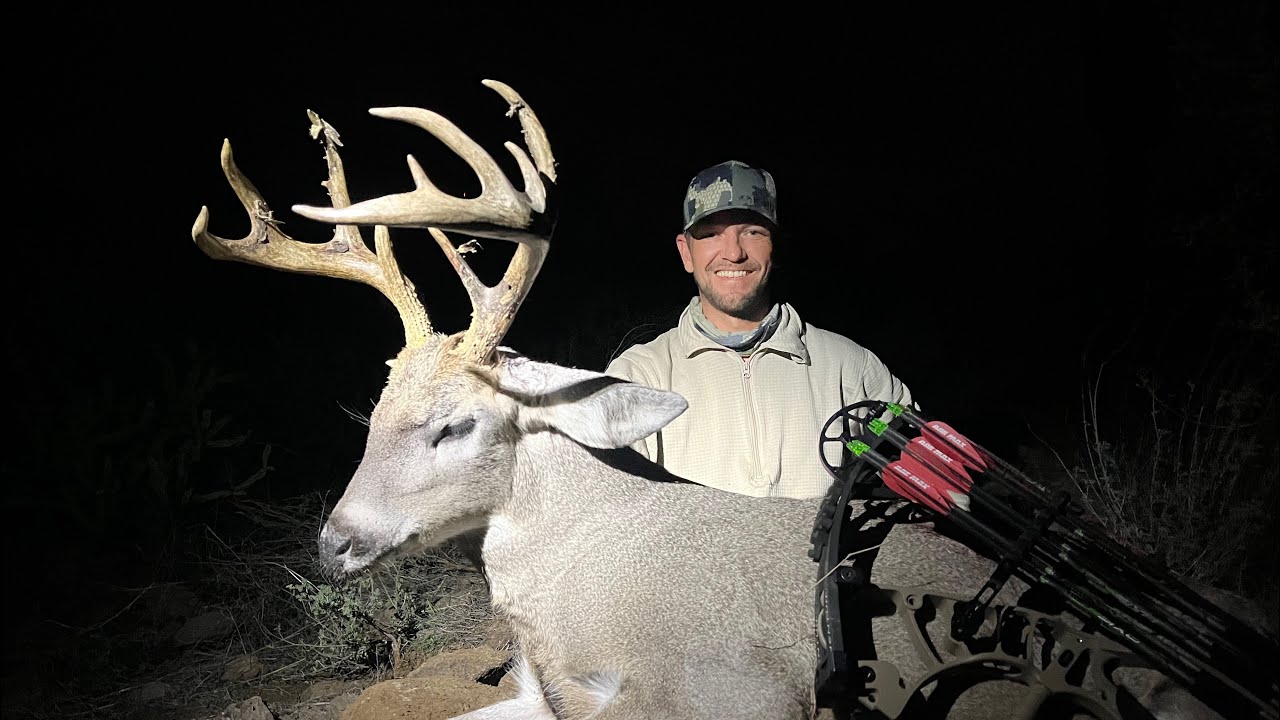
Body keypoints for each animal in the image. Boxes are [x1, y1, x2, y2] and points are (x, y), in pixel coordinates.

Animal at [190, 80, 1235, 720]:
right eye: (374, 415)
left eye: (455, 425)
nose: (333, 544)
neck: (580, 572)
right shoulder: (538, 686)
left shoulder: (728, 687)